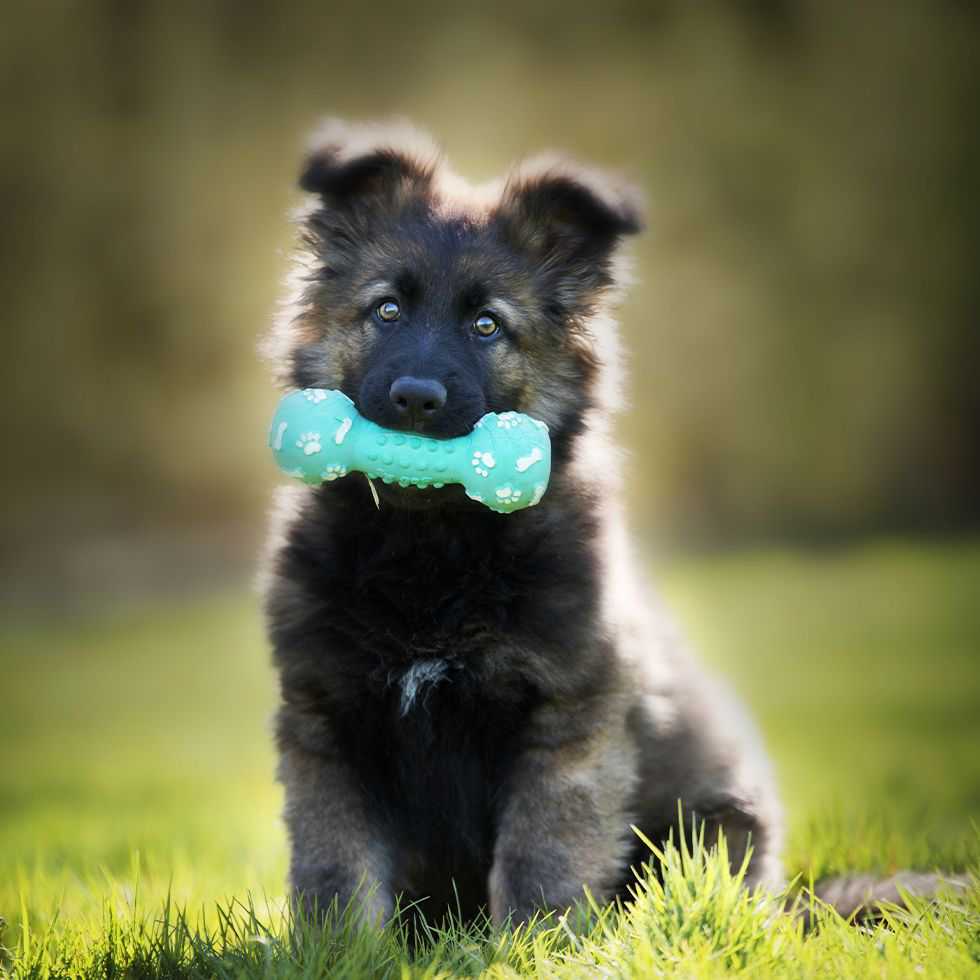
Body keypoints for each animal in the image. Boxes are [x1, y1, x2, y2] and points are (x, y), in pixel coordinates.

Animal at [260, 120, 780, 928]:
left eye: (486, 326)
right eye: (387, 310)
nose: (416, 399)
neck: (430, 552)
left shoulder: (567, 721)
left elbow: (544, 856)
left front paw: (532, 941)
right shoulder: (326, 719)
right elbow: (335, 870)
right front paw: (337, 947)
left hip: (719, 823)